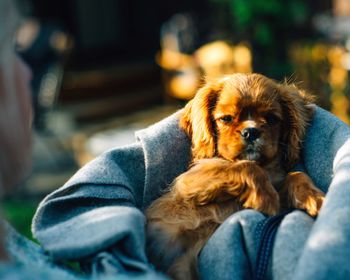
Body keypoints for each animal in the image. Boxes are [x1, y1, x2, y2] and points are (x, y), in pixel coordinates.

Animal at [146, 73, 326, 278]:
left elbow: (296, 174)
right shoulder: (188, 181)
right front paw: (266, 198)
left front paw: (314, 197)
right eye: (226, 119)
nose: (251, 131)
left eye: (272, 119)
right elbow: (247, 167)